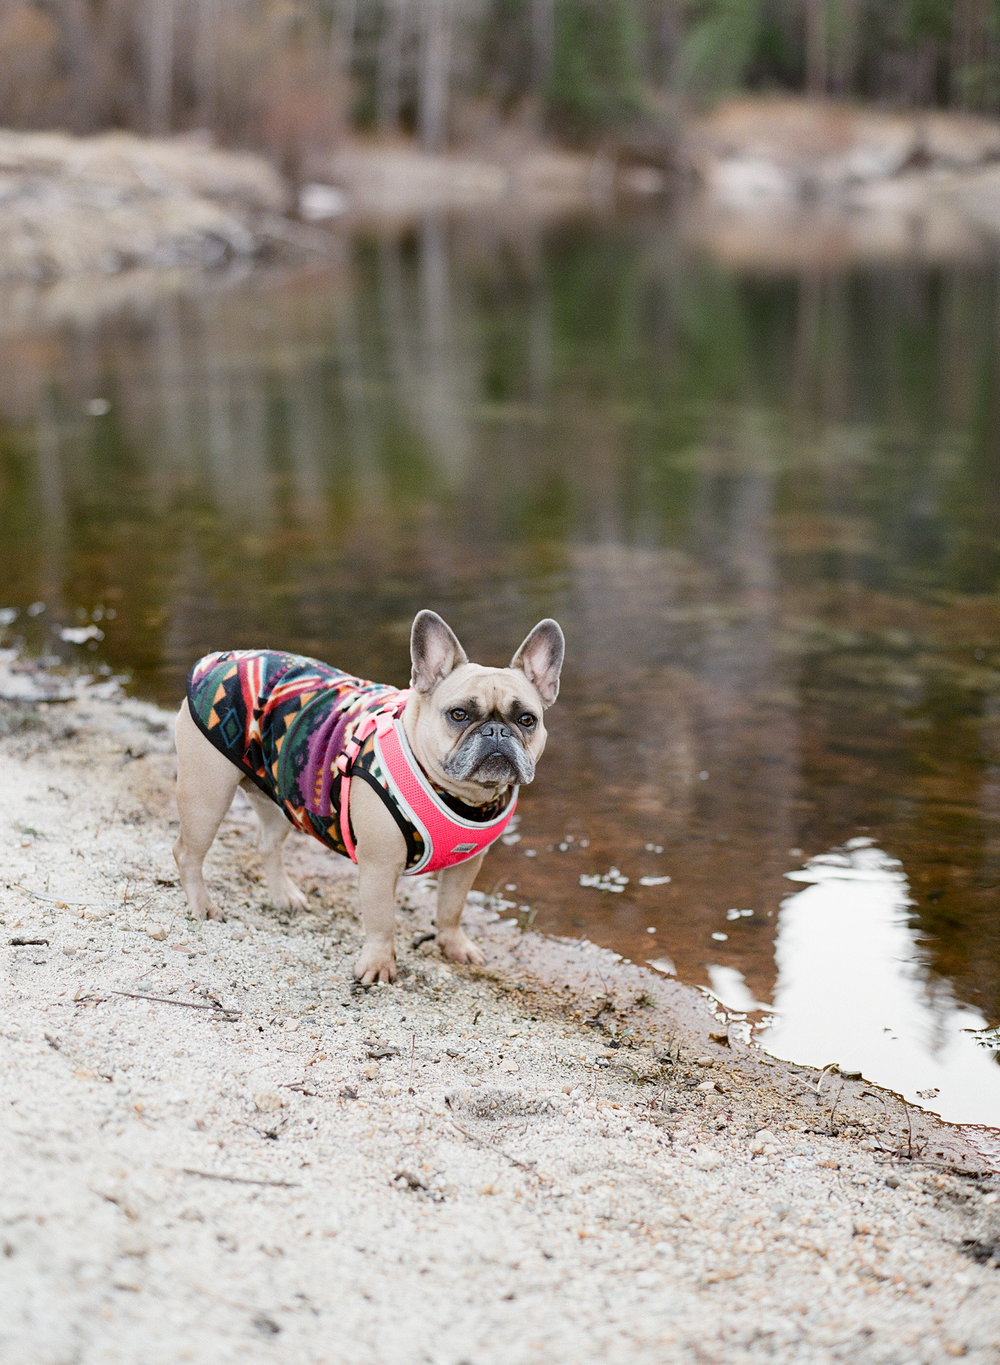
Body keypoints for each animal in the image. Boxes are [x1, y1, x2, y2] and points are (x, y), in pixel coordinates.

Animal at [172, 614, 562, 988]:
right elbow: (382, 920)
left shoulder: (466, 865)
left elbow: (451, 909)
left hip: (281, 793)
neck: (462, 794)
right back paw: (202, 906)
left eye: (527, 719)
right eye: (459, 714)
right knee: (187, 852)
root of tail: (216, 659)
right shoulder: (379, 865)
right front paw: (378, 965)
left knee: (267, 843)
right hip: (207, 796)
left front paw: (454, 946)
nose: (496, 731)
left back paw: (285, 896)